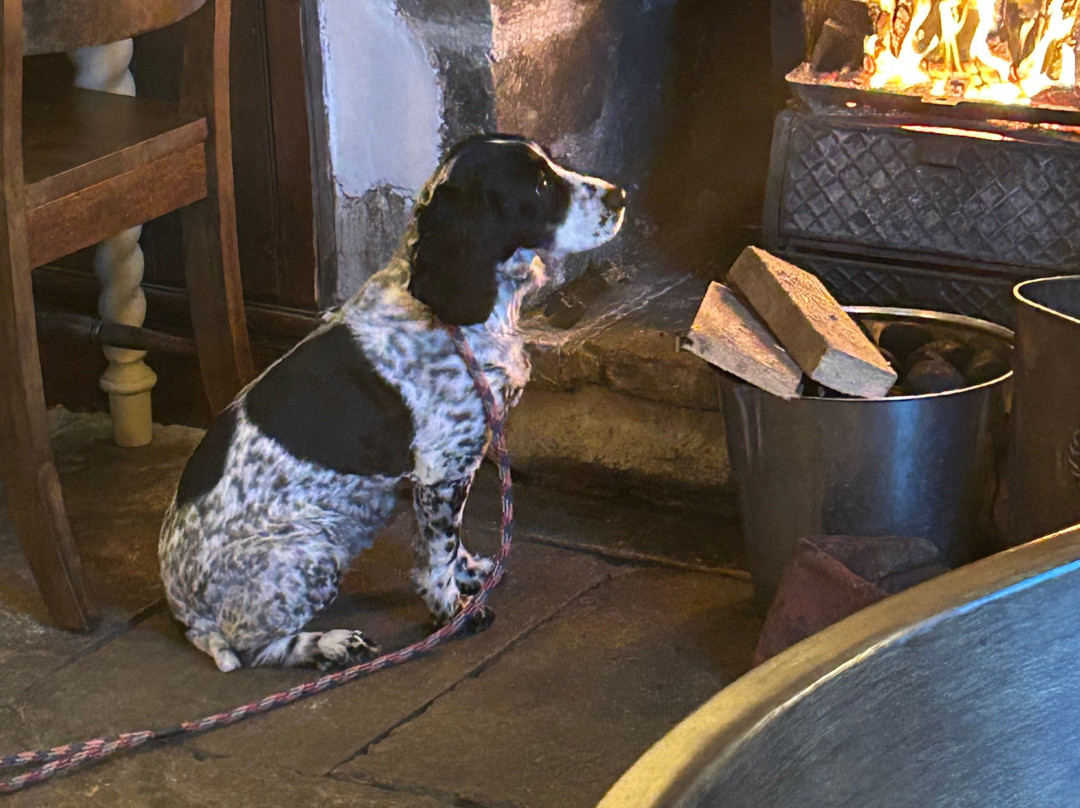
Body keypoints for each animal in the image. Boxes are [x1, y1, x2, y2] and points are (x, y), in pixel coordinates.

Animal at [159, 135, 626, 671]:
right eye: (540, 184)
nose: (621, 196)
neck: (448, 314)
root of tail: (183, 606)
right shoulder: (443, 469)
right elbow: (439, 551)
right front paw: (452, 613)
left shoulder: (444, 474)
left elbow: (448, 544)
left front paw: (471, 575)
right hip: (313, 549)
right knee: (254, 645)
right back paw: (332, 643)